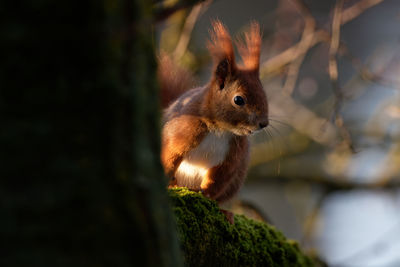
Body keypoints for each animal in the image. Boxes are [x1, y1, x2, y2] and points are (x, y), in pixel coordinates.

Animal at [158, 20, 268, 205]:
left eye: (264, 94)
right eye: (238, 100)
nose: (263, 123)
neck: (220, 130)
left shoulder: (230, 158)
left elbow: (217, 179)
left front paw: (205, 193)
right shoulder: (179, 135)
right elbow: (170, 156)